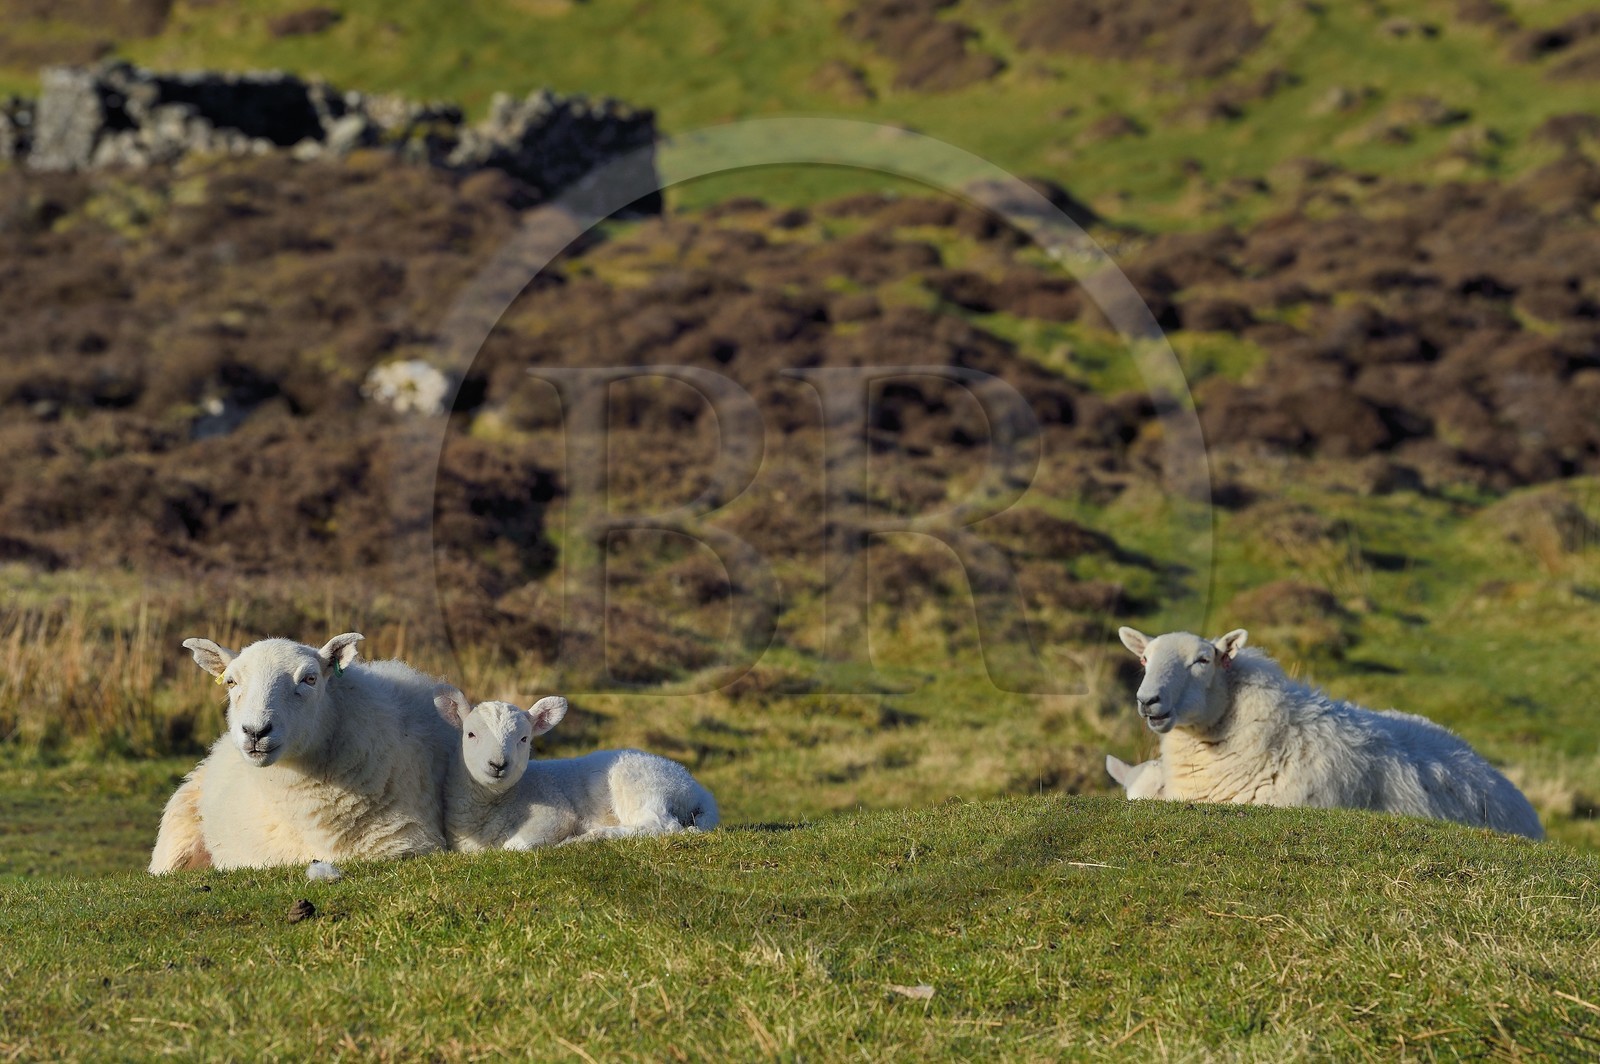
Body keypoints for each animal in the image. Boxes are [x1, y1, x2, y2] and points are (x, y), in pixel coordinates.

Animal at [433, 685, 719, 852]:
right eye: (470, 734)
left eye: (524, 739)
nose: (498, 764)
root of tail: (697, 790)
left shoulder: (554, 815)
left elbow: (514, 847)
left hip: (642, 786)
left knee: (660, 826)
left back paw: (593, 836)